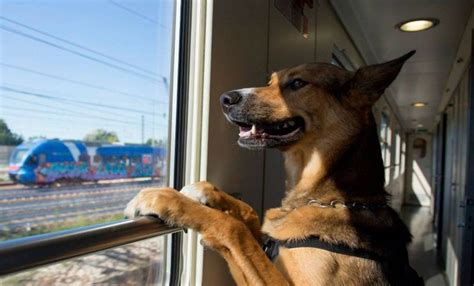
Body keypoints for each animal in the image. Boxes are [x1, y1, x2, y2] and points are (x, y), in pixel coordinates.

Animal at [125, 50, 422, 284]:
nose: (224, 99)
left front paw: (166, 199)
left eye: (298, 83)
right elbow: (248, 215)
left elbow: (234, 228)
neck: (332, 199)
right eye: (270, 82)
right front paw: (205, 191)